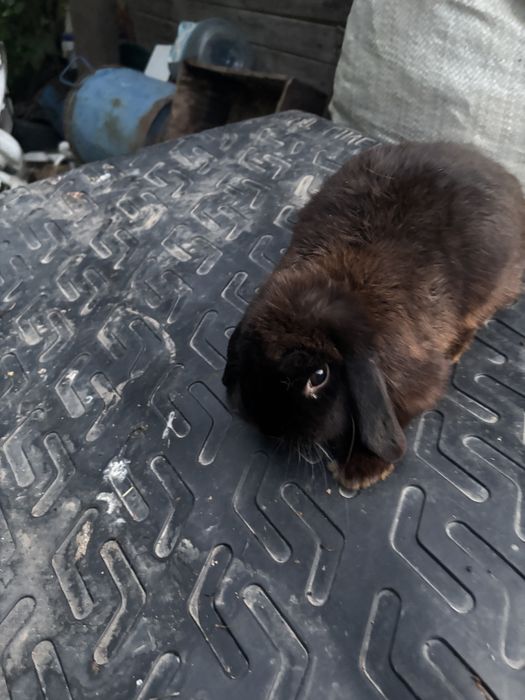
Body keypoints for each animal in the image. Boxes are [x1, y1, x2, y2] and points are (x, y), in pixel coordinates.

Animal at [222, 142, 525, 490]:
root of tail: (506, 178)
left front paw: (360, 471)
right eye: (251, 356)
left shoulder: (419, 380)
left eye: (318, 377)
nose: (268, 427)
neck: (339, 288)